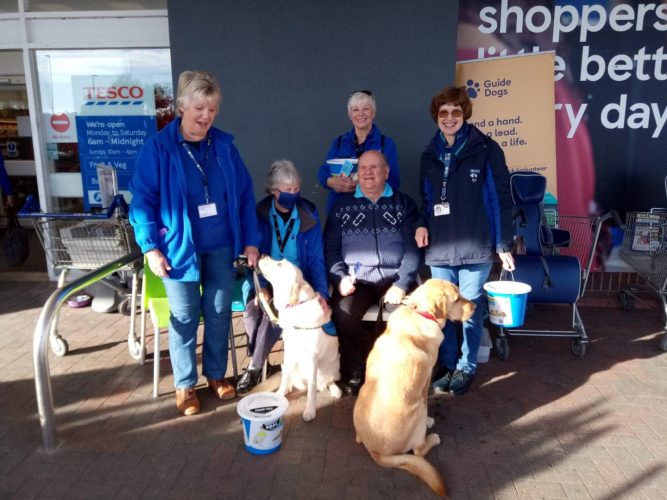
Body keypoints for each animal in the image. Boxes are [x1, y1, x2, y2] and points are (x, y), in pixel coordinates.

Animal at [254, 254, 342, 422]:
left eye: (280, 264)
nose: (262, 255)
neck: (296, 307)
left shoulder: (312, 358)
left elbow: (312, 389)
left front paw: (310, 411)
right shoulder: (289, 352)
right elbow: (285, 377)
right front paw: (280, 393)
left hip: (335, 365)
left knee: (329, 380)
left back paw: (335, 389)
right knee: (288, 376)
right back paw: (288, 388)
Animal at [354, 280, 474, 498]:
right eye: (456, 299)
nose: (476, 307)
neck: (420, 313)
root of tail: (378, 454)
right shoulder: (425, 380)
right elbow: (427, 398)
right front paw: (429, 422)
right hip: (418, 408)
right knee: (418, 451)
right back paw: (432, 438)